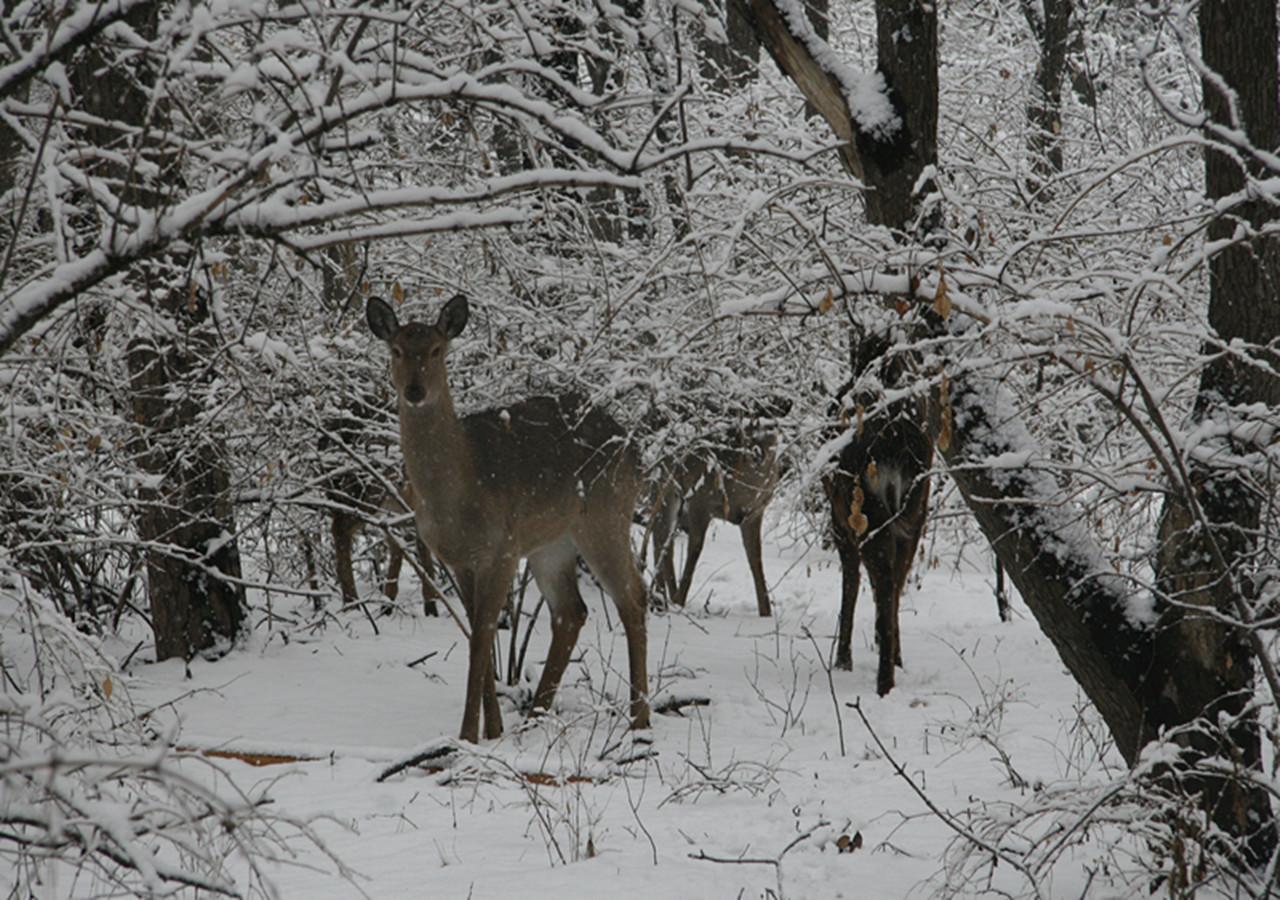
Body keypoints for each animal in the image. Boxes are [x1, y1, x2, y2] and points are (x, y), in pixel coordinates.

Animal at [368, 291, 650, 742]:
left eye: (437, 349)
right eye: (395, 350)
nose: (414, 390)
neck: (460, 488)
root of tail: (635, 450)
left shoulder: (501, 547)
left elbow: (482, 635)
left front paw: (469, 734)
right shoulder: (459, 559)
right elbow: (474, 630)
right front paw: (494, 729)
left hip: (604, 517)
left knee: (633, 596)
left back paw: (639, 719)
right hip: (552, 541)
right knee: (572, 611)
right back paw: (536, 715)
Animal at [650, 425, 778, 617]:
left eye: (771, 432)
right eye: (746, 434)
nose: (757, 453)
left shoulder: (754, 514)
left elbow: (756, 558)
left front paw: (766, 612)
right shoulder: (700, 501)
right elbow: (695, 550)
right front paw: (680, 601)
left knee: (665, 541)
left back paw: (663, 599)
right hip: (665, 489)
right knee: (660, 537)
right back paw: (662, 601)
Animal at [824, 335, 936, 696]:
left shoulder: (840, 523)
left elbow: (851, 583)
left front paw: (842, 659)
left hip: (864, 508)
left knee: (882, 580)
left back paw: (883, 680)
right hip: (916, 507)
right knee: (895, 581)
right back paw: (892, 663)